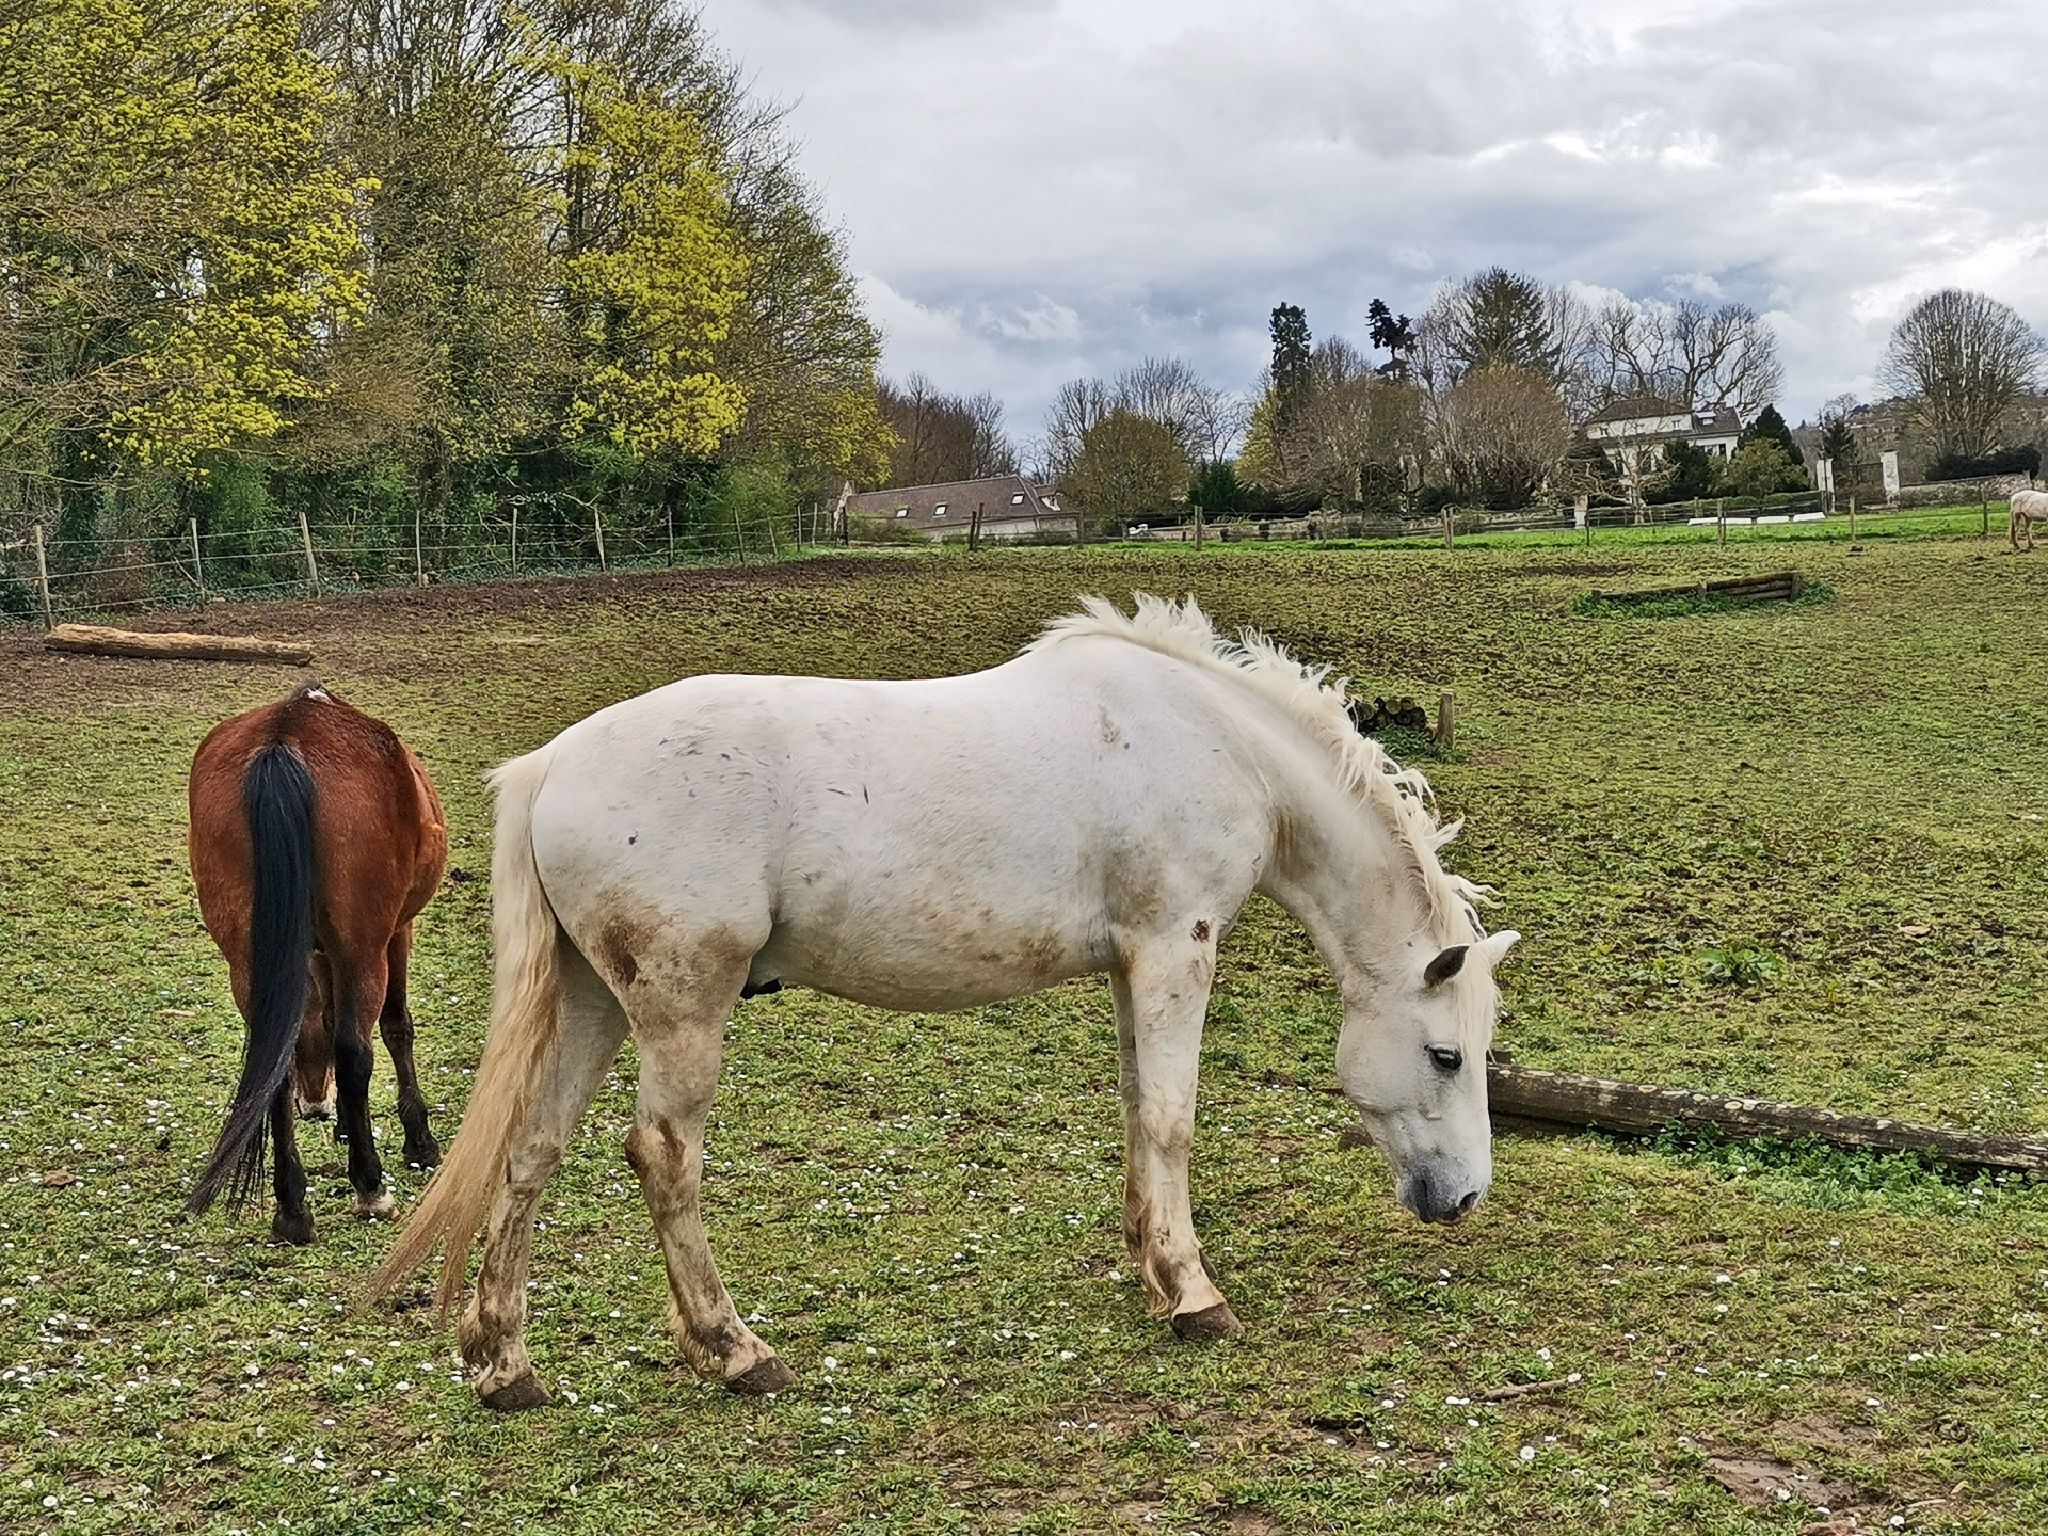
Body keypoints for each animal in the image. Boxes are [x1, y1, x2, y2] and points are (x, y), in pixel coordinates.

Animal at [187, 682, 448, 1244]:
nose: (315, 1103)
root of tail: (285, 737)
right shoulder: (395, 933)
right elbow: (393, 1028)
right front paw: (417, 1141)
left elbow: (325, 1022)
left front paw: (348, 1124)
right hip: (364, 946)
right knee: (355, 1049)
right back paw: (371, 1187)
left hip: (247, 954)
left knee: (275, 1069)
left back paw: (292, 1206)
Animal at [371, 595, 1516, 1410]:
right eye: (1447, 1057)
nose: (1462, 1199)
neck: (1214, 743)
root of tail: (552, 763)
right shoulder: (1173, 951)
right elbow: (1171, 1119)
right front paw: (1193, 1294)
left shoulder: (1131, 968)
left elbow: (1135, 1110)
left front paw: (1149, 1265)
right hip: (680, 1009)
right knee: (662, 1156)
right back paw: (733, 1350)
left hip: (593, 1002)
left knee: (533, 1148)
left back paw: (504, 1363)